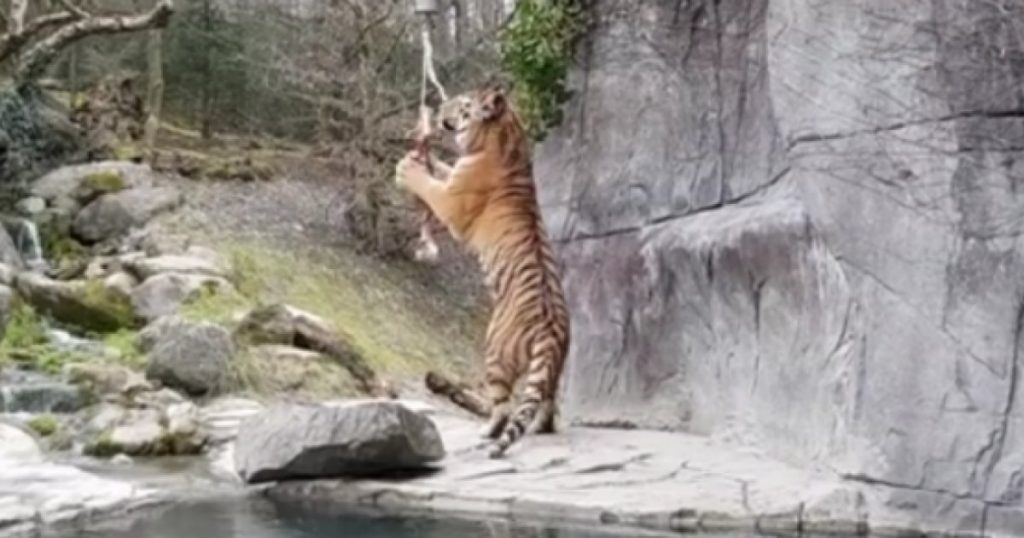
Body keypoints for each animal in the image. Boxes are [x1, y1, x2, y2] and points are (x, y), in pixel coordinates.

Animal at [394, 86, 571, 458]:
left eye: (463, 104)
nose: (437, 108)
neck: (505, 136)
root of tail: (550, 329)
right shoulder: (453, 177)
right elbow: (442, 168)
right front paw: (426, 158)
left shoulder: (450, 203)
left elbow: (428, 184)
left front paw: (408, 169)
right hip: (553, 369)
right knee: (545, 404)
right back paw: (539, 429)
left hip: (495, 352)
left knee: (503, 408)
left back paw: (488, 433)